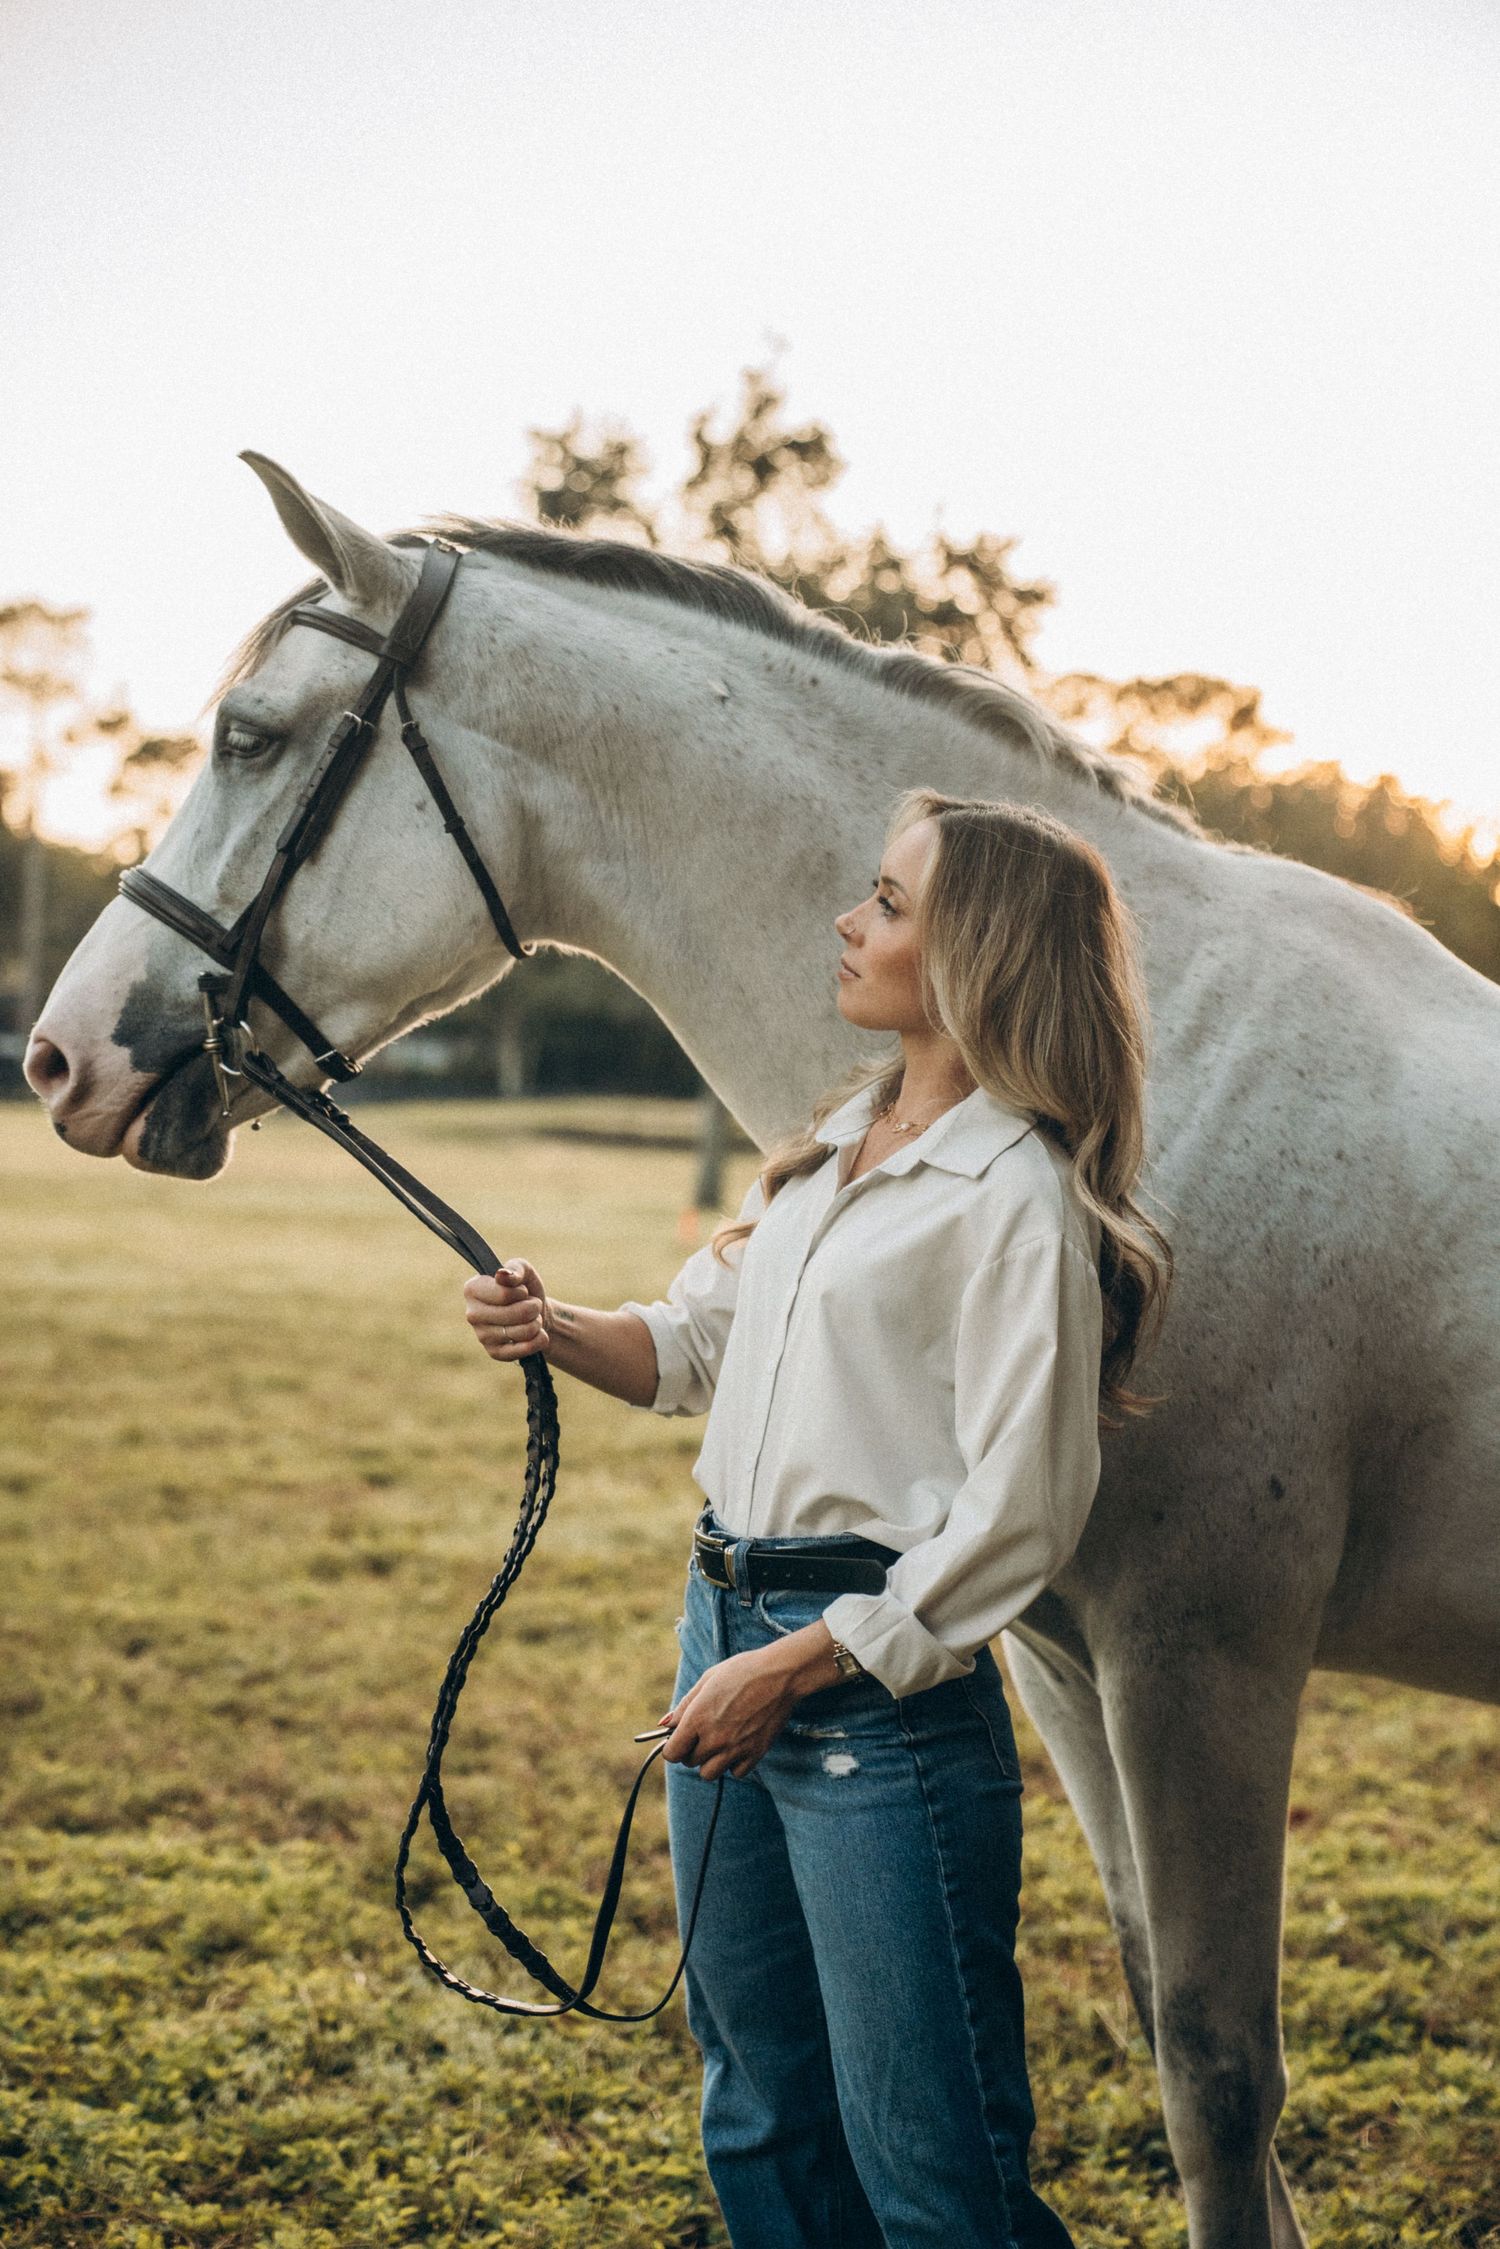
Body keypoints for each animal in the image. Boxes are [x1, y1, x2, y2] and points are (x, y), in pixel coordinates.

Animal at [25, 453, 1500, 2249]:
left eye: (250, 734)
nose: (58, 1056)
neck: (1158, 1082)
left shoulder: (1206, 1657)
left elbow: (1220, 2077)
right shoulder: (1068, 1662)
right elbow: (1167, 2014)